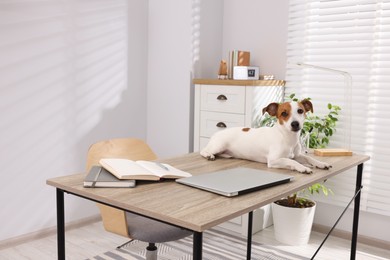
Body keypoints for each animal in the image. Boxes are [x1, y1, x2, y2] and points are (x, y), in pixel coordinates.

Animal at [201, 100, 332, 174]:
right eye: (284, 113)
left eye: (300, 111)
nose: (295, 124)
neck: (287, 137)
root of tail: (217, 133)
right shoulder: (274, 160)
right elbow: (290, 160)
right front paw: (302, 167)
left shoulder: (298, 155)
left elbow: (308, 158)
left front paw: (321, 163)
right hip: (219, 145)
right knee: (204, 151)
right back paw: (209, 155)